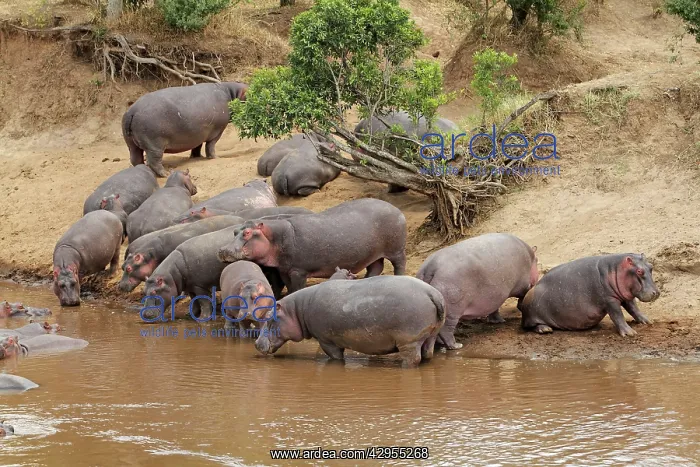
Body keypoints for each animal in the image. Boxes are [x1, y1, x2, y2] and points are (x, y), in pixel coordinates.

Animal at [142, 225, 285, 320]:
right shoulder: (190, 286)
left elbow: (203, 302)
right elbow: (194, 300)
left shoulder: (200, 286)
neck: (171, 275)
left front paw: (202, 318)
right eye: (144, 291)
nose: (145, 314)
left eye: (154, 292)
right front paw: (191, 314)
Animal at [217, 198, 407, 293]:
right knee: (375, 267)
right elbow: (290, 288)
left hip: (396, 250)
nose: (223, 250)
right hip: (373, 254)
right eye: (235, 231)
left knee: (399, 265)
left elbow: (297, 288)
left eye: (248, 233)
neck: (273, 237)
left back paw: (399, 277)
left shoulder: (298, 271)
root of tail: (395, 208)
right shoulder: (284, 270)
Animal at [254, 276, 445, 368]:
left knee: (413, 359)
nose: (256, 343)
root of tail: (432, 293)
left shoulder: (327, 341)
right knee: (427, 354)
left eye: (269, 318)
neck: (296, 310)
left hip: (409, 340)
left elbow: (335, 357)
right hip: (431, 335)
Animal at [518, 253, 660, 336]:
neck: (616, 269)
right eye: (639, 271)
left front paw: (647, 321)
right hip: (532, 313)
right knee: (532, 325)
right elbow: (618, 316)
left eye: (651, 266)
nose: (656, 292)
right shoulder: (610, 300)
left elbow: (634, 309)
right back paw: (545, 329)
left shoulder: (626, 295)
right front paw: (630, 333)